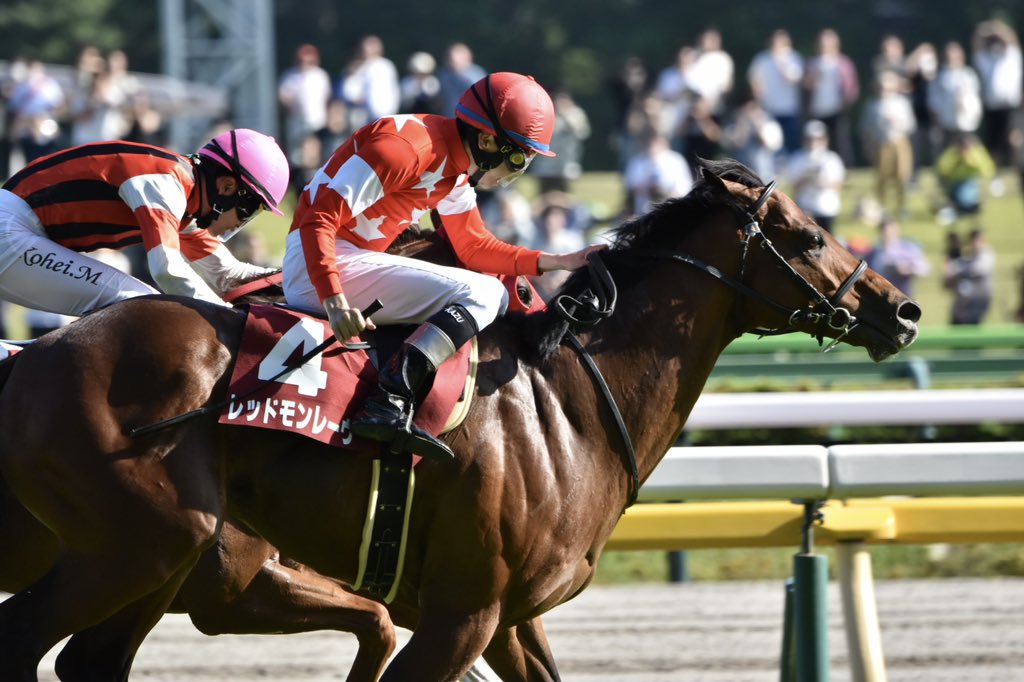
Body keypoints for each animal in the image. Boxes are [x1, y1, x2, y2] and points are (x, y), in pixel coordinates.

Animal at [0, 159, 921, 675]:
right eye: (808, 238)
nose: (904, 310)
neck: (569, 404)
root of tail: (34, 362)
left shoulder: (510, 621)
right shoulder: (457, 616)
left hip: (153, 559)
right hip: (143, 546)